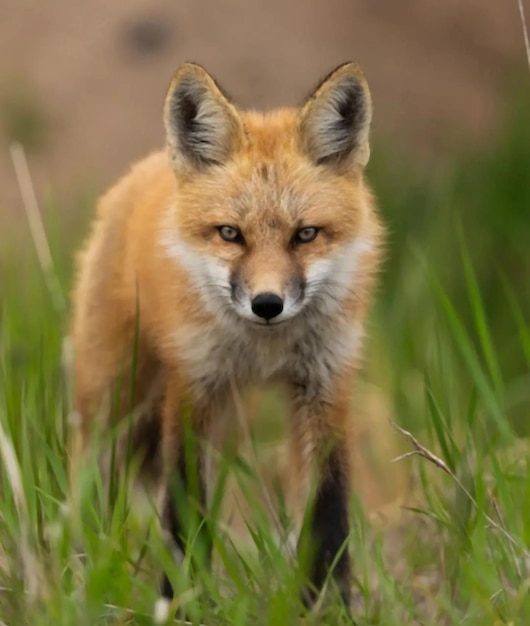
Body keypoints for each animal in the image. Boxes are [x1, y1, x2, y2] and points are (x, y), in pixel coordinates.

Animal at [71, 61, 384, 608]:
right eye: (230, 234)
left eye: (305, 234)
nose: (267, 304)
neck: (265, 349)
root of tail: (143, 170)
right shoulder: (195, 387)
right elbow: (184, 513)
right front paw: (179, 601)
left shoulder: (324, 385)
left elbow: (328, 510)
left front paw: (329, 604)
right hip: (113, 402)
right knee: (86, 490)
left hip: (232, 417)